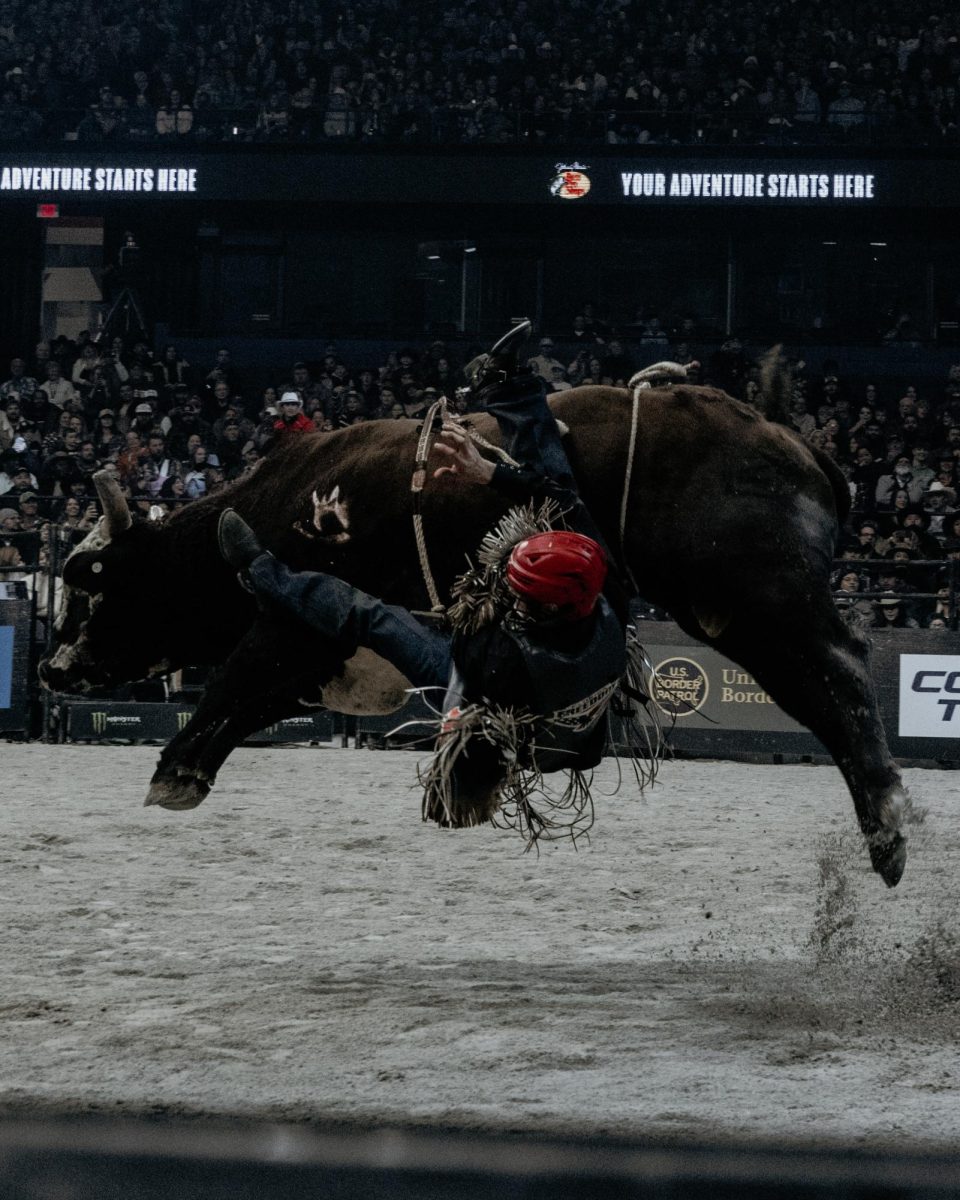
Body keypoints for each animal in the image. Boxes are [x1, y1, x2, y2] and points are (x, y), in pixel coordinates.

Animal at [37, 379, 907, 888]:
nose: (51, 669)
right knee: (827, 693)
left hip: (758, 598)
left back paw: (888, 825)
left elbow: (238, 681)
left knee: (840, 676)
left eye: (89, 586)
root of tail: (795, 445)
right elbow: (261, 696)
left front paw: (176, 770)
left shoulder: (292, 626)